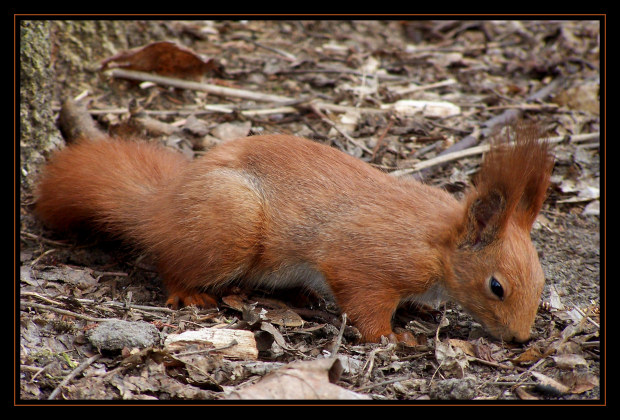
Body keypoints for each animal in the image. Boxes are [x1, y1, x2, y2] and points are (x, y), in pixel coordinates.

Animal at [34, 124, 552, 344]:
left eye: (543, 282)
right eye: (497, 286)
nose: (521, 339)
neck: (438, 245)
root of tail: (164, 205)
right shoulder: (367, 260)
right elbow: (365, 305)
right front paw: (392, 337)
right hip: (230, 227)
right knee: (171, 262)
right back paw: (187, 292)